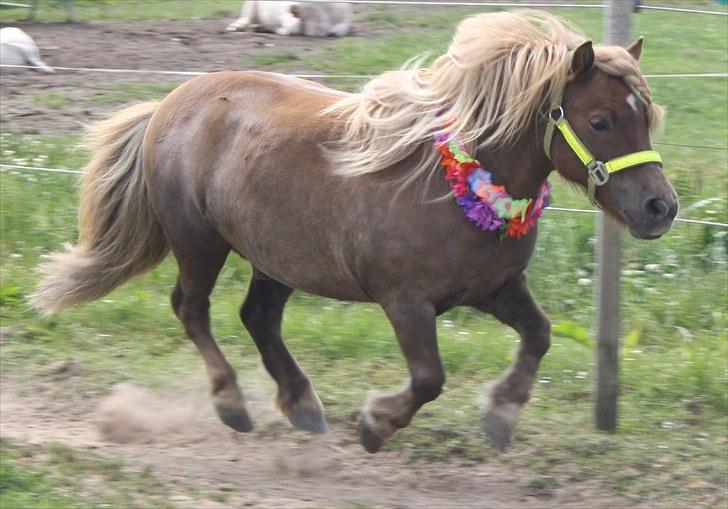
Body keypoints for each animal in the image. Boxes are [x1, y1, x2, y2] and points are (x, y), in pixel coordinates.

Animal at [31, 9, 680, 450]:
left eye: (647, 114)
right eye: (600, 120)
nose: (661, 207)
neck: (451, 186)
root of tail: (169, 103)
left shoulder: (495, 290)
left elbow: (540, 336)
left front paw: (500, 416)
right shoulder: (405, 302)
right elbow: (429, 378)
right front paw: (376, 425)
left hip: (277, 258)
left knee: (258, 317)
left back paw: (301, 404)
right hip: (200, 243)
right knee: (192, 311)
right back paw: (233, 405)